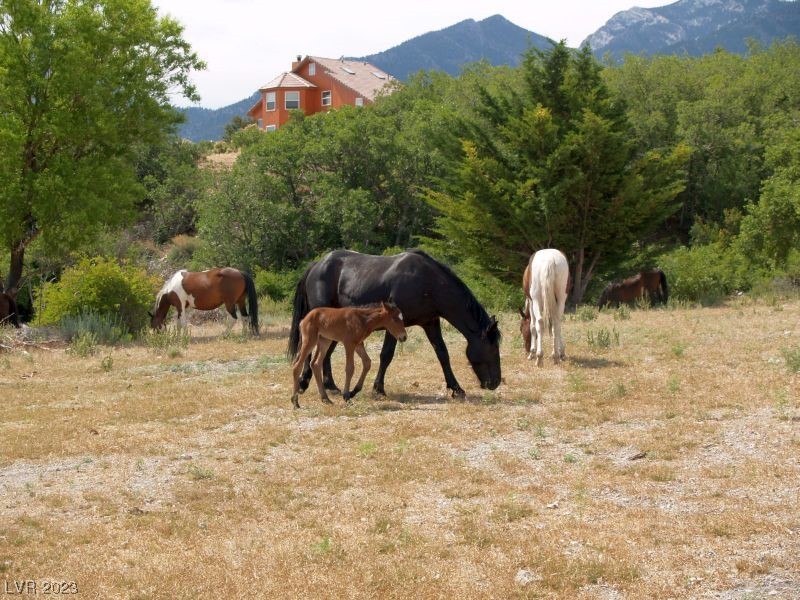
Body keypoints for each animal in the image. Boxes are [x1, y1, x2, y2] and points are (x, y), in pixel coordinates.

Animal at [288, 248, 500, 398]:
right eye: (492, 348)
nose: (496, 382)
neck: (427, 283)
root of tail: (317, 265)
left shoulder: (431, 323)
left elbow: (442, 354)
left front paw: (456, 388)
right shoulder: (394, 326)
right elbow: (386, 355)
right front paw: (378, 389)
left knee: (326, 353)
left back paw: (330, 386)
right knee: (312, 351)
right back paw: (305, 383)